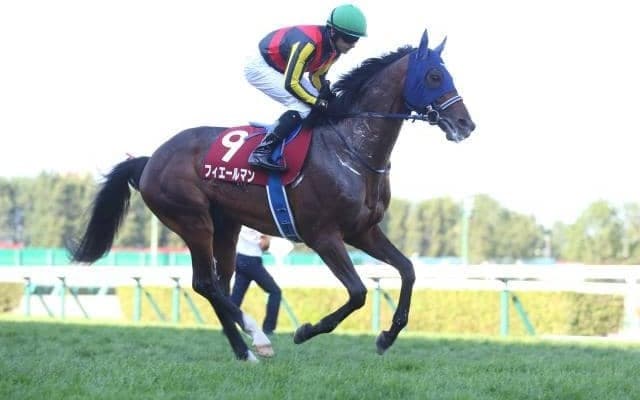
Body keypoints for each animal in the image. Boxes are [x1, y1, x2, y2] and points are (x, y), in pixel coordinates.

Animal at [71, 30, 475, 361]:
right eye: (435, 76)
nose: (466, 124)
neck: (351, 149)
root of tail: (149, 159)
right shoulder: (323, 236)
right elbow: (358, 292)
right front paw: (305, 330)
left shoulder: (363, 231)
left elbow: (407, 270)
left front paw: (387, 336)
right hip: (192, 219)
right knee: (205, 283)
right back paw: (258, 338)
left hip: (226, 225)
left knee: (219, 284)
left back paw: (244, 351)